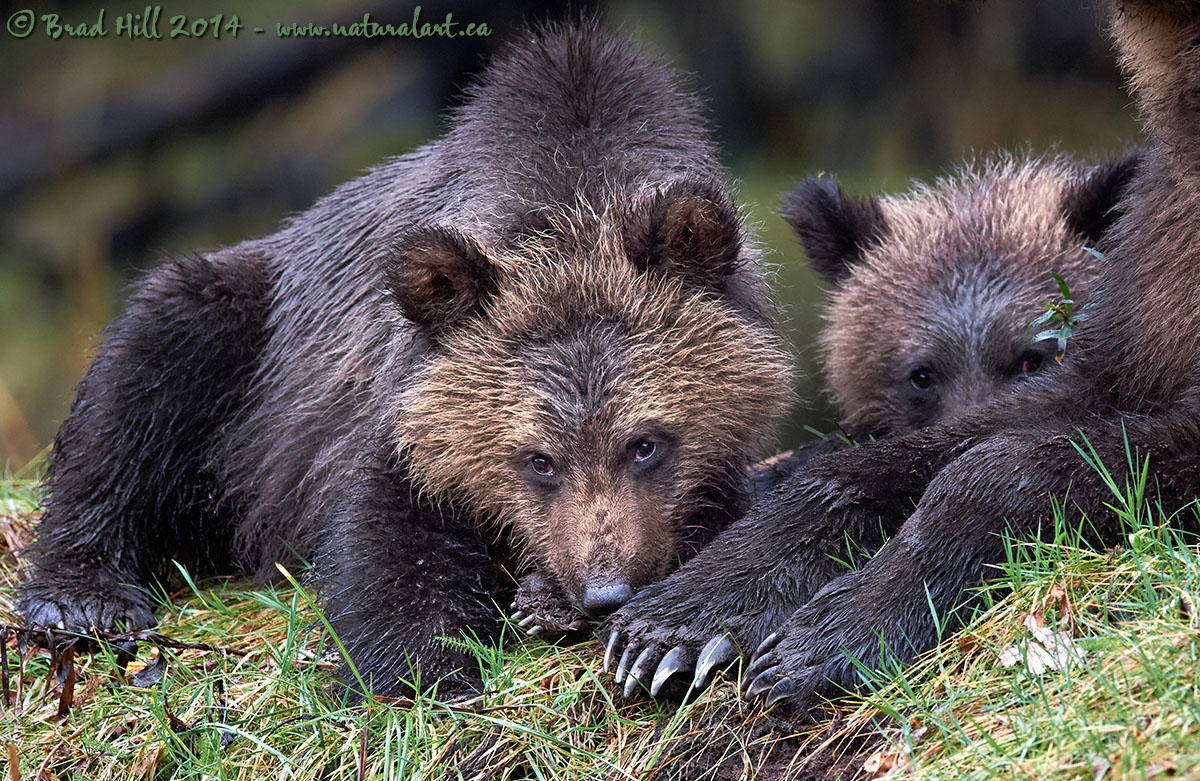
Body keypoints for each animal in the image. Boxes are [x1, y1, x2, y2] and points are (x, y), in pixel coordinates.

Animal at [17, 22, 794, 696]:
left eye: (646, 443)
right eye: (537, 458)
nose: (605, 589)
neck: (571, 191)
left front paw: (568, 606)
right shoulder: (395, 406)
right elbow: (390, 539)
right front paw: (425, 670)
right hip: (242, 340)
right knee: (147, 375)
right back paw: (81, 596)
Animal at [600, 0, 1200, 715]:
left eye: (1032, 355)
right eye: (919, 376)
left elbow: (1025, 462)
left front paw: (830, 635)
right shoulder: (1143, 301)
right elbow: (881, 465)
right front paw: (683, 621)